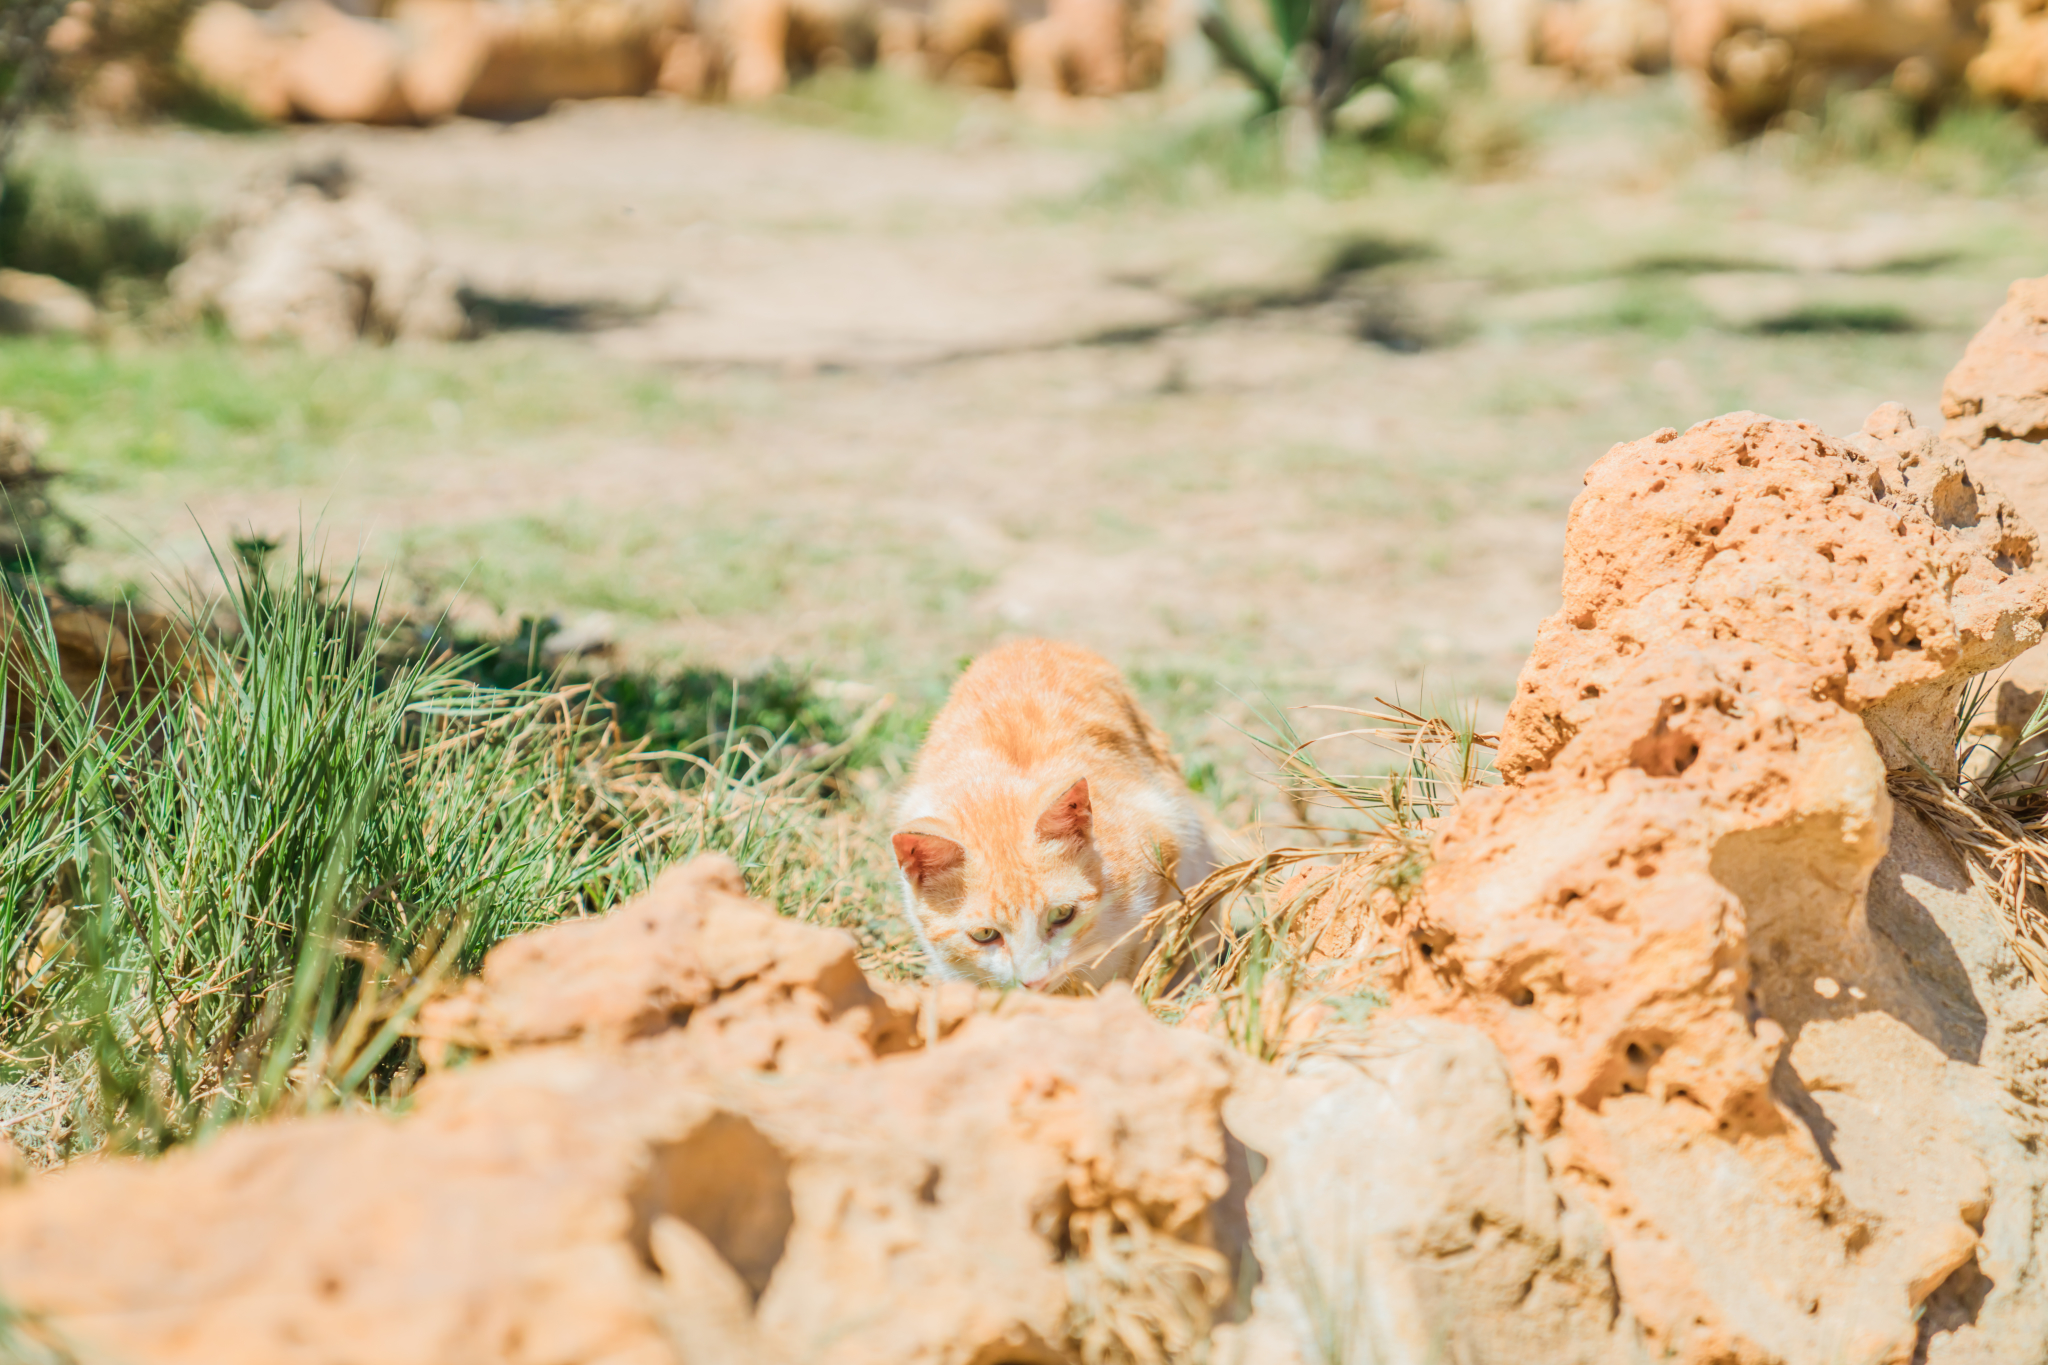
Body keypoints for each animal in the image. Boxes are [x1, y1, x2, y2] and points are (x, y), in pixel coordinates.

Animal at [892, 642, 1212, 994]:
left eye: (1062, 914)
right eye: (984, 935)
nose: (1035, 981)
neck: (996, 784)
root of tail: (1029, 641)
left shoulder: (1164, 844)